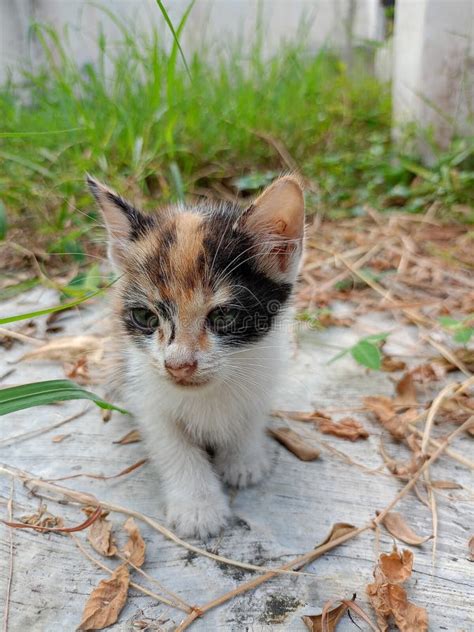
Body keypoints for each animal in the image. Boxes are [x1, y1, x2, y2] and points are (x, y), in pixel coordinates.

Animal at [87, 174, 306, 540]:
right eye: (145, 317)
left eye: (224, 316)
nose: (178, 365)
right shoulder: (146, 395)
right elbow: (175, 448)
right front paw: (198, 507)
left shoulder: (266, 369)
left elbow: (250, 416)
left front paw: (244, 460)